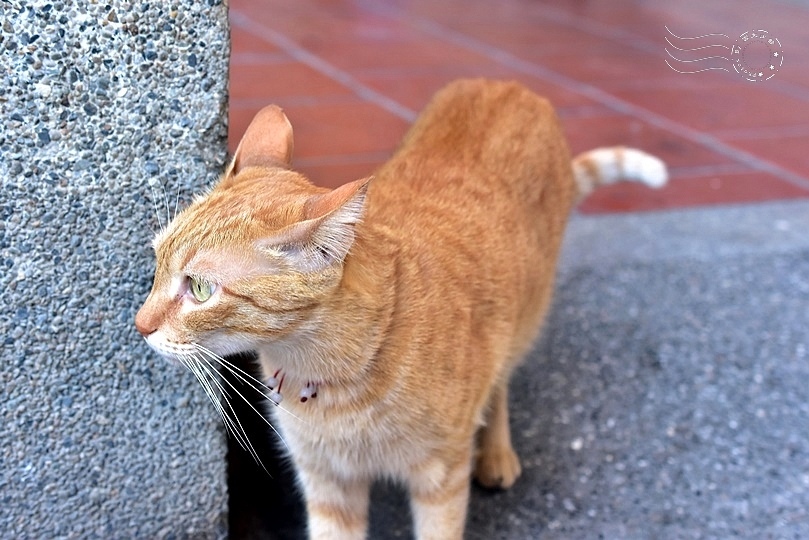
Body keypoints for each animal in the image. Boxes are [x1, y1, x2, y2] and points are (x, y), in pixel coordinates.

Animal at [134, 78, 664, 536]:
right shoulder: (327, 483)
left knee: (501, 380)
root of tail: (509, 85)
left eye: (201, 288)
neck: (331, 375)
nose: (139, 325)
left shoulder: (440, 479)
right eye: (157, 260)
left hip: (525, 321)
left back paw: (495, 452)